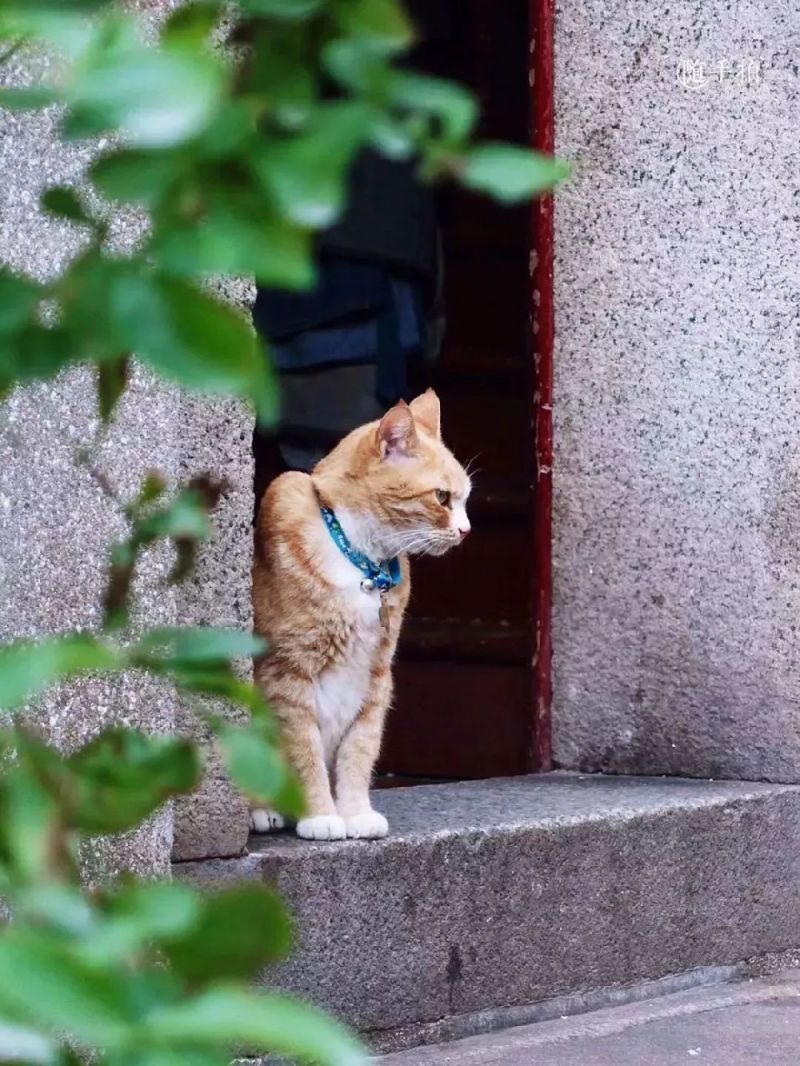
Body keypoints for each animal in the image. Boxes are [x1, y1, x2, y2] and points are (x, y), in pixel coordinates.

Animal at [251, 392, 469, 840]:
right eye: (442, 498)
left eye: (466, 499)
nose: (466, 530)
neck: (360, 561)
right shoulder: (287, 675)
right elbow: (304, 752)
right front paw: (321, 815)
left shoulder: (375, 676)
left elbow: (360, 750)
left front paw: (354, 813)